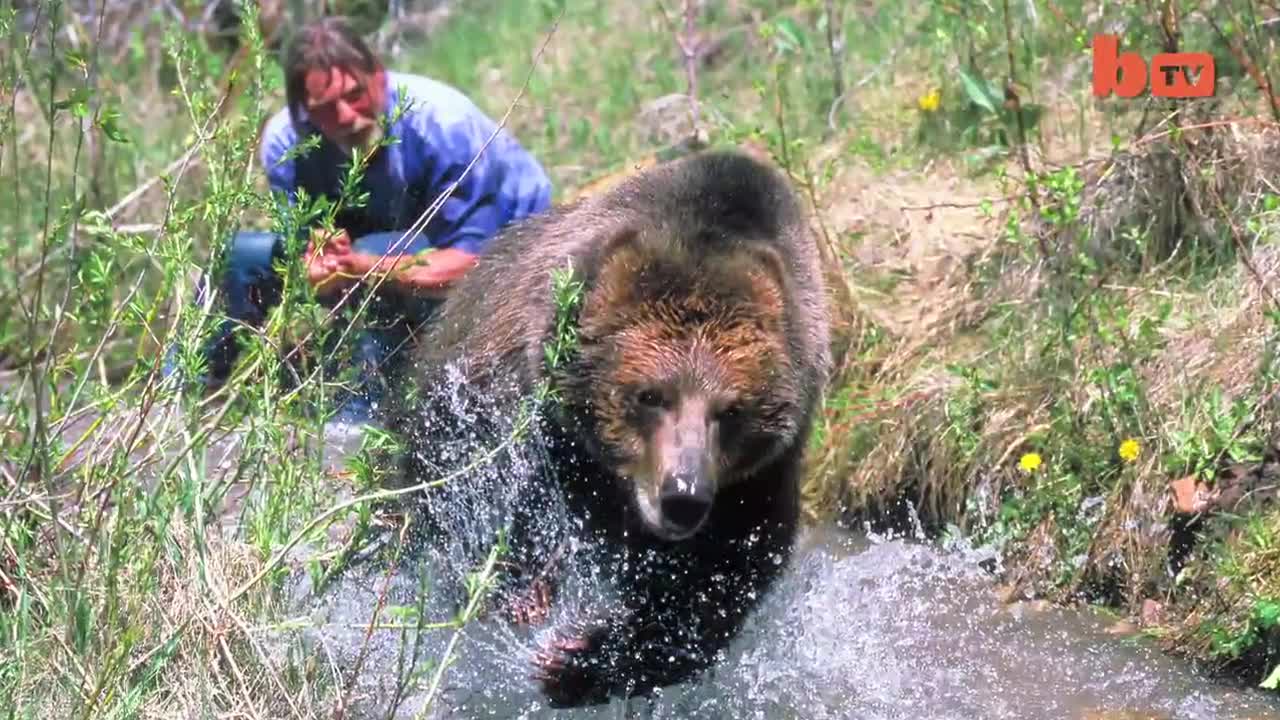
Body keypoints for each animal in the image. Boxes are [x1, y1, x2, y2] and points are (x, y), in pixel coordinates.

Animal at [379, 148, 832, 708]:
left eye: (730, 410)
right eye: (650, 395)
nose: (683, 496)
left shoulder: (756, 482)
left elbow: (714, 592)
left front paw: (576, 660)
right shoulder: (519, 405)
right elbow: (482, 491)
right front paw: (524, 594)